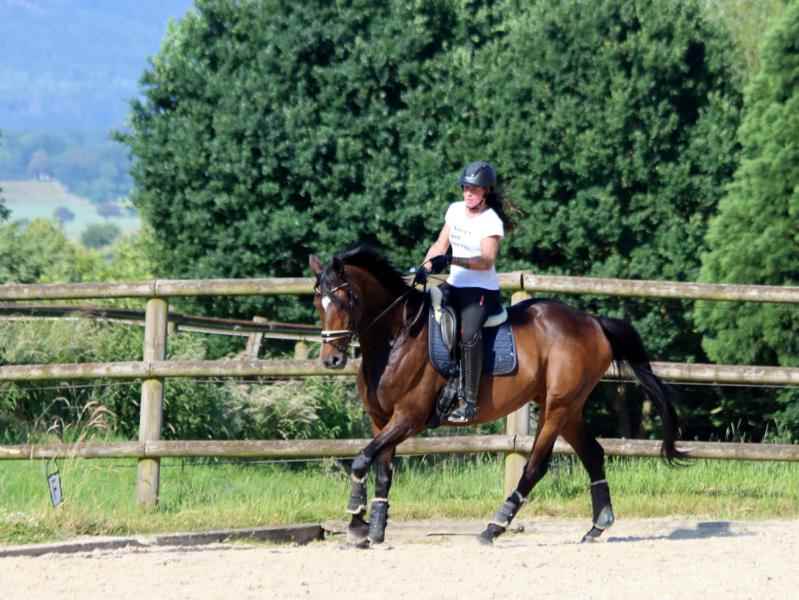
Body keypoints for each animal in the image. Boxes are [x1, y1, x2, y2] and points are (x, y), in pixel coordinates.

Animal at [309, 245, 685, 546]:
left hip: (558, 408)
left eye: (347, 299)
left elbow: (361, 459)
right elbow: (381, 468)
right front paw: (373, 528)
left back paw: (495, 526)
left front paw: (356, 521)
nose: (331, 360)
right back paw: (597, 526)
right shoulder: (381, 420)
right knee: (593, 454)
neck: (396, 338)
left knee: (535, 467)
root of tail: (592, 322)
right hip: (568, 408)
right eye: (318, 301)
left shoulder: (408, 418)